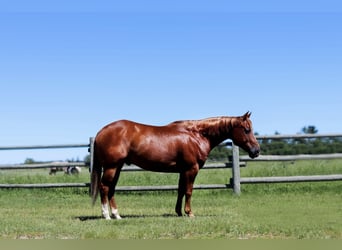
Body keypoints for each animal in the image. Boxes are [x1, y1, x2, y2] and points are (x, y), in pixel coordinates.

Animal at [91, 112, 260, 220]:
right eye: (247, 130)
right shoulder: (192, 169)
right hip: (111, 167)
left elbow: (180, 191)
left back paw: (117, 215)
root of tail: (101, 132)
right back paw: (106, 215)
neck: (196, 135)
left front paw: (179, 212)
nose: (256, 151)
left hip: (117, 167)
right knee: (104, 187)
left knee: (111, 189)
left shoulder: (182, 171)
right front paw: (189, 213)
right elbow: (189, 191)